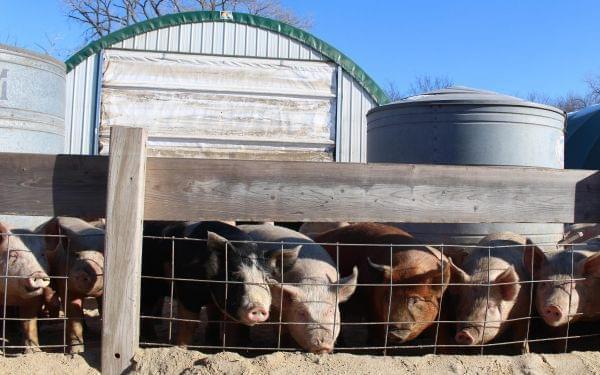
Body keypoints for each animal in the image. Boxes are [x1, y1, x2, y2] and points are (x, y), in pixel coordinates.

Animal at [0, 222, 50, 354]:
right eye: (13, 255)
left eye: (42, 254)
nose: (38, 274)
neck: (11, 295)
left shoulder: (34, 299)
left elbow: (29, 322)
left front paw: (34, 352)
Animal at [42, 219, 104, 354]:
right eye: (76, 255)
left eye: (102, 257)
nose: (83, 273)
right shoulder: (65, 285)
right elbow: (73, 314)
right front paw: (75, 353)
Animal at [141, 220, 300, 346]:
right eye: (235, 276)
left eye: (266, 278)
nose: (258, 308)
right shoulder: (188, 294)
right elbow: (189, 323)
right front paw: (182, 348)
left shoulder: (215, 300)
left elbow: (215, 318)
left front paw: (214, 344)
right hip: (148, 284)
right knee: (145, 310)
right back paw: (151, 340)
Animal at [238, 226, 358, 356]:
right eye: (302, 312)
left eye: (331, 311)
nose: (322, 344)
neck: (313, 281)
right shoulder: (275, 309)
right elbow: (282, 331)